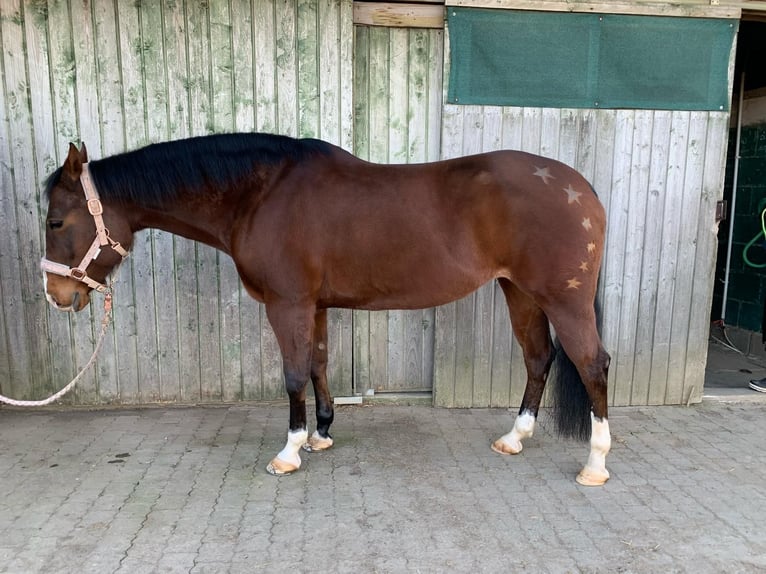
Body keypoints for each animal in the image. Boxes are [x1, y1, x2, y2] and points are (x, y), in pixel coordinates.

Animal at [43, 134, 616, 486]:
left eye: (55, 221)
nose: (56, 295)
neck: (260, 195)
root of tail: (582, 189)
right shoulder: (312, 305)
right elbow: (318, 363)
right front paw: (320, 435)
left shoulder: (287, 304)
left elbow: (294, 373)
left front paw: (289, 451)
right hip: (519, 292)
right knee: (538, 358)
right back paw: (514, 438)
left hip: (562, 299)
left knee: (592, 365)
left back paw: (594, 464)